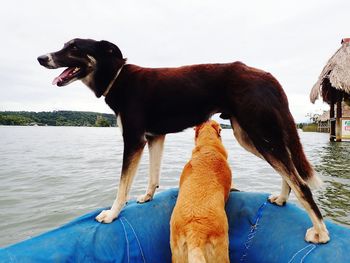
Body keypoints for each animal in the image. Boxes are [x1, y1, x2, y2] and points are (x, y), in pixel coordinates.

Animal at [37, 38, 330, 243]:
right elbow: (153, 175)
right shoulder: (154, 138)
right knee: (290, 174)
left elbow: (122, 186)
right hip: (250, 136)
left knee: (301, 184)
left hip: (258, 133)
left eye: (74, 47)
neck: (117, 76)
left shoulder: (133, 140)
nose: (41, 58)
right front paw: (147, 197)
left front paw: (112, 213)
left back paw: (321, 232)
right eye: (65, 45)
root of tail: (268, 76)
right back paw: (282, 198)